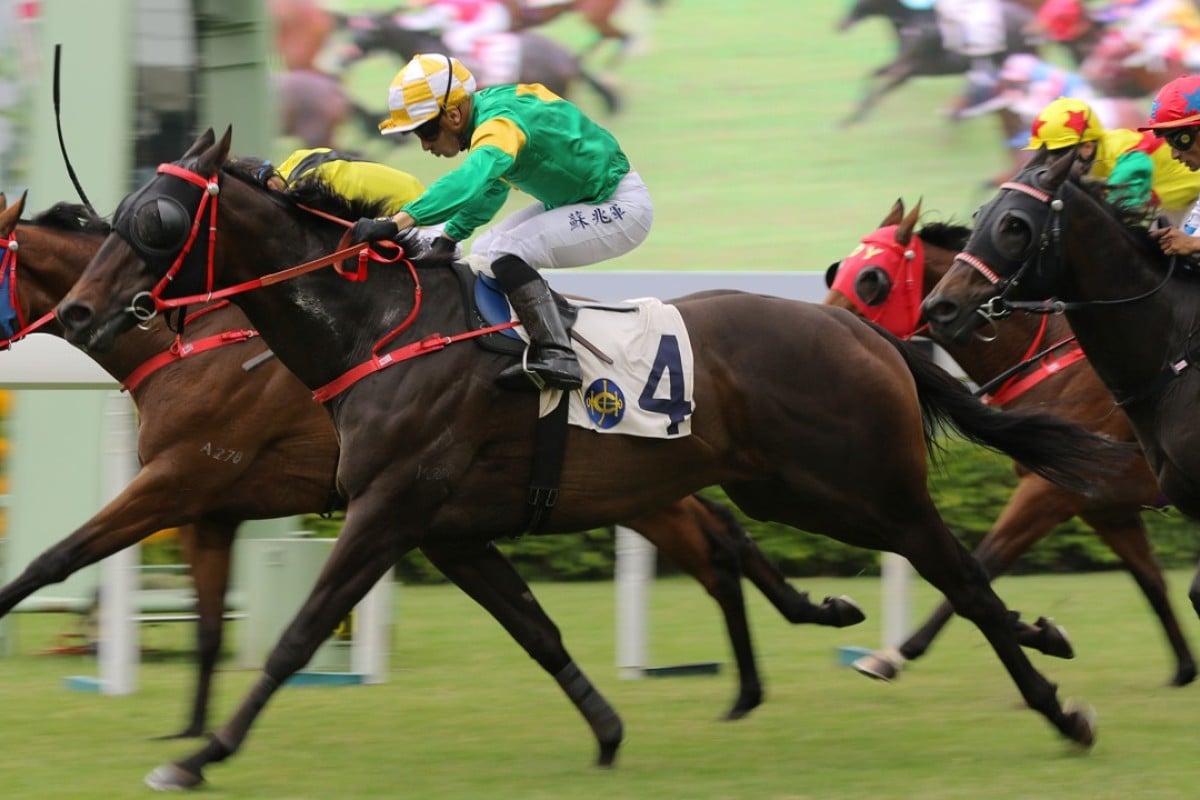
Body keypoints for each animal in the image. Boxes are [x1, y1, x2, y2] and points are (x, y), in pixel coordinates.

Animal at [0, 188, 868, 734]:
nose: (77, 313)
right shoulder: (210, 506)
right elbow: (210, 628)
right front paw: (187, 734)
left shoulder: (180, 480)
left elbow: (55, 559)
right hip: (639, 483)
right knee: (719, 545)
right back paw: (765, 664)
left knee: (723, 544)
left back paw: (793, 638)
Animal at [825, 200, 1200, 690]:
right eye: (839, 269)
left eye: (871, 277)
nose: (822, 324)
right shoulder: (1106, 508)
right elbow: (1152, 580)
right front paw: (1184, 667)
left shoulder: (1050, 490)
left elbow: (985, 562)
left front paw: (893, 655)